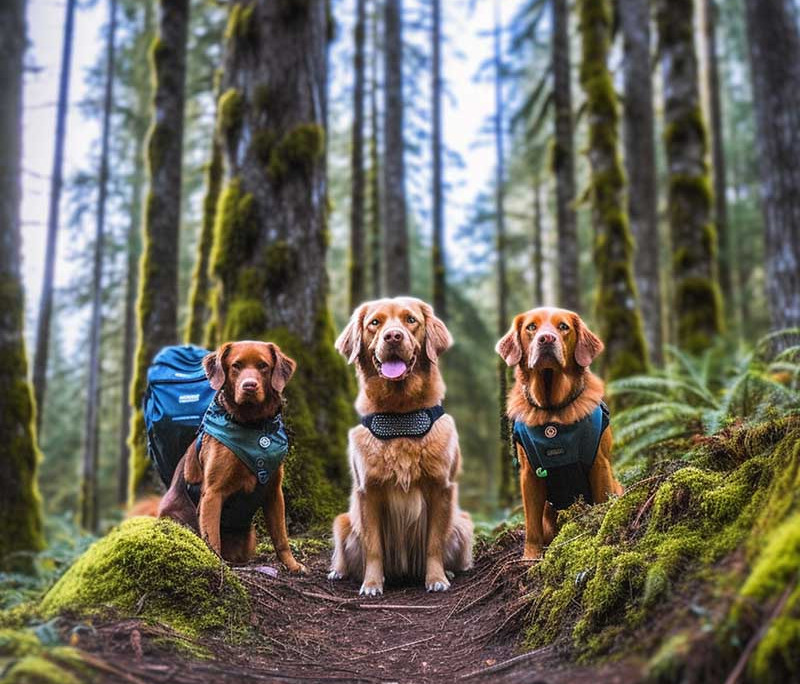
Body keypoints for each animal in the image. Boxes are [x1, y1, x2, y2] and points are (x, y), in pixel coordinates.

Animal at [158, 342, 304, 572]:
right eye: (236, 365)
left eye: (263, 366)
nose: (249, 386)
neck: (252, 427)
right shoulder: (212, 494)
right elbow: (212, 538)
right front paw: (220, 568)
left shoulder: (274, 492)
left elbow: (281, 537)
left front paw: (292, 565)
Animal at [328, 296, 472, 596]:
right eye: (375, 322)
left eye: (411, 320)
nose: (393, 336)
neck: (401, 416)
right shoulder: (368, 492)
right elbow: (373, 547)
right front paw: (371, 583)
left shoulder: (441, 489)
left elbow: (434, 543)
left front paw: (436, 578)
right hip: (342, 522)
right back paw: (338, 571)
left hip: (462, 523)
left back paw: (450, 570)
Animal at [494, 308, 624, 560]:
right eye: (531, 327)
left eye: (563, 327)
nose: (546, 339)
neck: (553, 411)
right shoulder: (529, 475)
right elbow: (531, 525)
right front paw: (531, 557)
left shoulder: (600, 464)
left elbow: (602, 503)